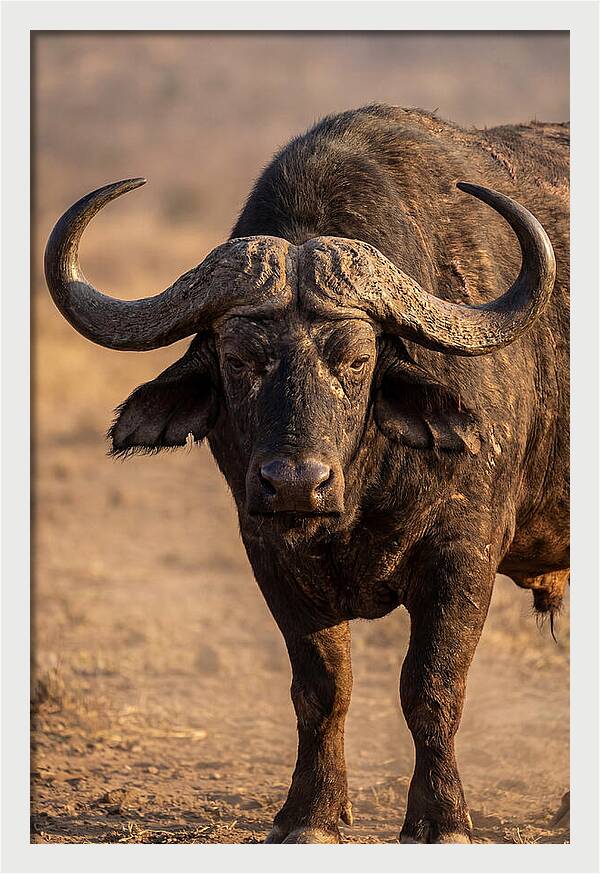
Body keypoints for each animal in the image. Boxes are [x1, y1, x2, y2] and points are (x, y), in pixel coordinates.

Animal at [44, 105, 569, 844]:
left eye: (356, 359)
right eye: (238, 358)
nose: (295, 482)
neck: (359, 492)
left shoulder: (462, 553)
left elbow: (432, 686)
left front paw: (441, 820)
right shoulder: (268, 552)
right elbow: (323, 688)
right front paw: (312, 815)